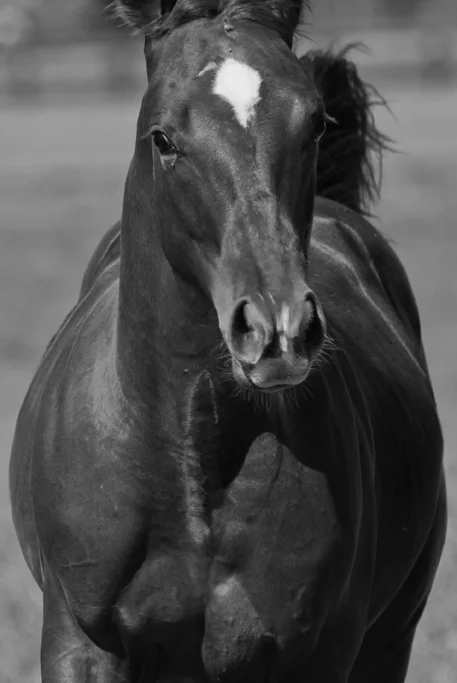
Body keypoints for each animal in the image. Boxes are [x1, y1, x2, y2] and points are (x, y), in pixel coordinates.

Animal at [9, 1, 446, 681]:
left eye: (314, 124)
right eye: (162, 138)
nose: (277, 330)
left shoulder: (319, 652)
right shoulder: (79, 643)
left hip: (390, 636)